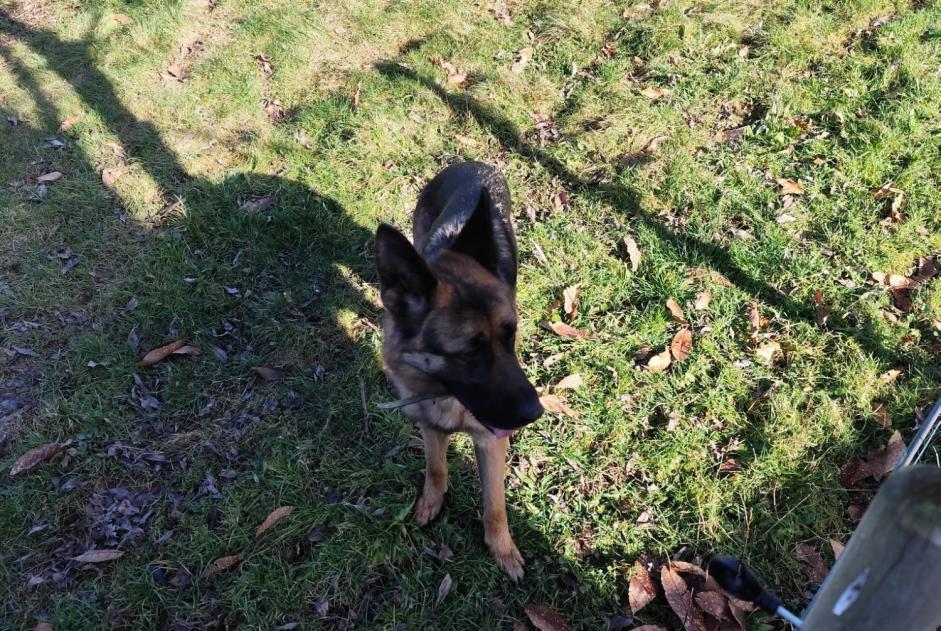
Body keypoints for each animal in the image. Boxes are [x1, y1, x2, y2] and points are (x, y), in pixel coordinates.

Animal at [374, 160, 544, 580]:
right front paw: (430, 504)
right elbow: (436, 469)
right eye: (469, 352)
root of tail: (470, 164)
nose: (535, 413)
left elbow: (494, 505)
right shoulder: (430, 427)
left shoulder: (491, 441)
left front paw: (502, 550)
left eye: (511, 335)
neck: (443, 391)